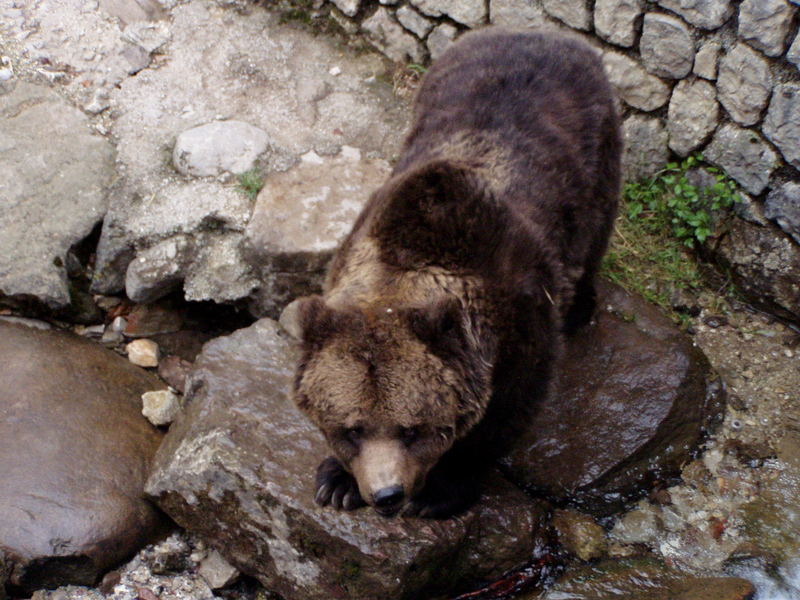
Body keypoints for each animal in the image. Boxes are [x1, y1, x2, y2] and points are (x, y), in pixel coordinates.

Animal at [284, 25, 620, 516]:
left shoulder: (520, 314)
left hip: (595, 150)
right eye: (352, 429)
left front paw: (440, 489)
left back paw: (581, 307)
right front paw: (338, 483)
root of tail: (543, 31)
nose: (387, 495)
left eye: (411, 428)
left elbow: (506, 409)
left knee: (597, 225)